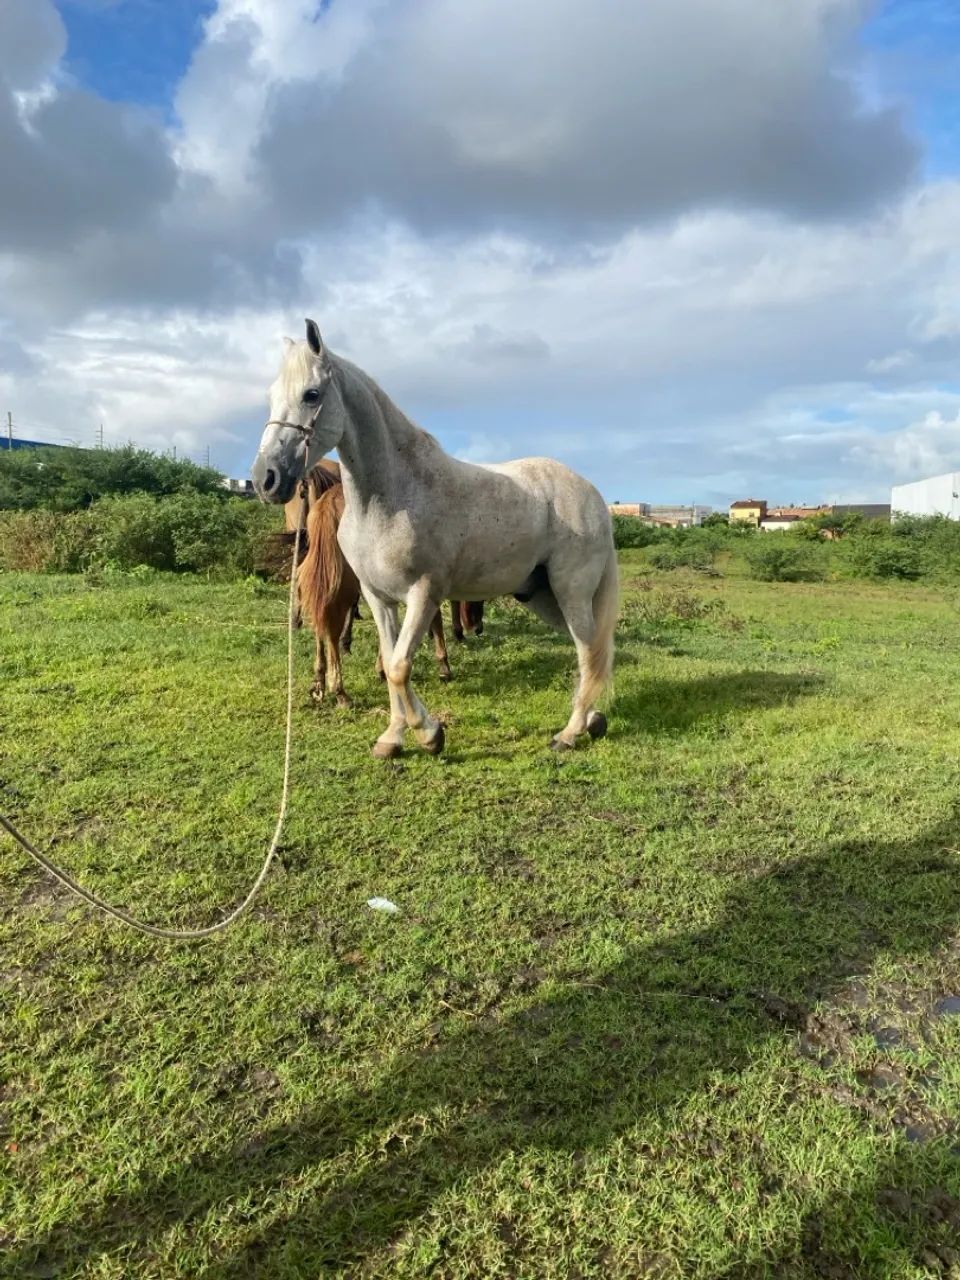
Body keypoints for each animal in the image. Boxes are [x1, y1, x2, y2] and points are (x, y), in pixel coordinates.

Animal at [252, 320, 617, 757]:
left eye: (311, 394)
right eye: (272, 395)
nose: (266, 479)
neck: (392, 496)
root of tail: (591, 494)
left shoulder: (423, 595)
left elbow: (398, 666)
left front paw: (429, 733)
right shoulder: (379, 599)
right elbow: (391, 659)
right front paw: (393, 738)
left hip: (570, 591)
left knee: (588, 648)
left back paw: (570, 732)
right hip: (542, 596)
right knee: (592, 648)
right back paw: (593, 719)